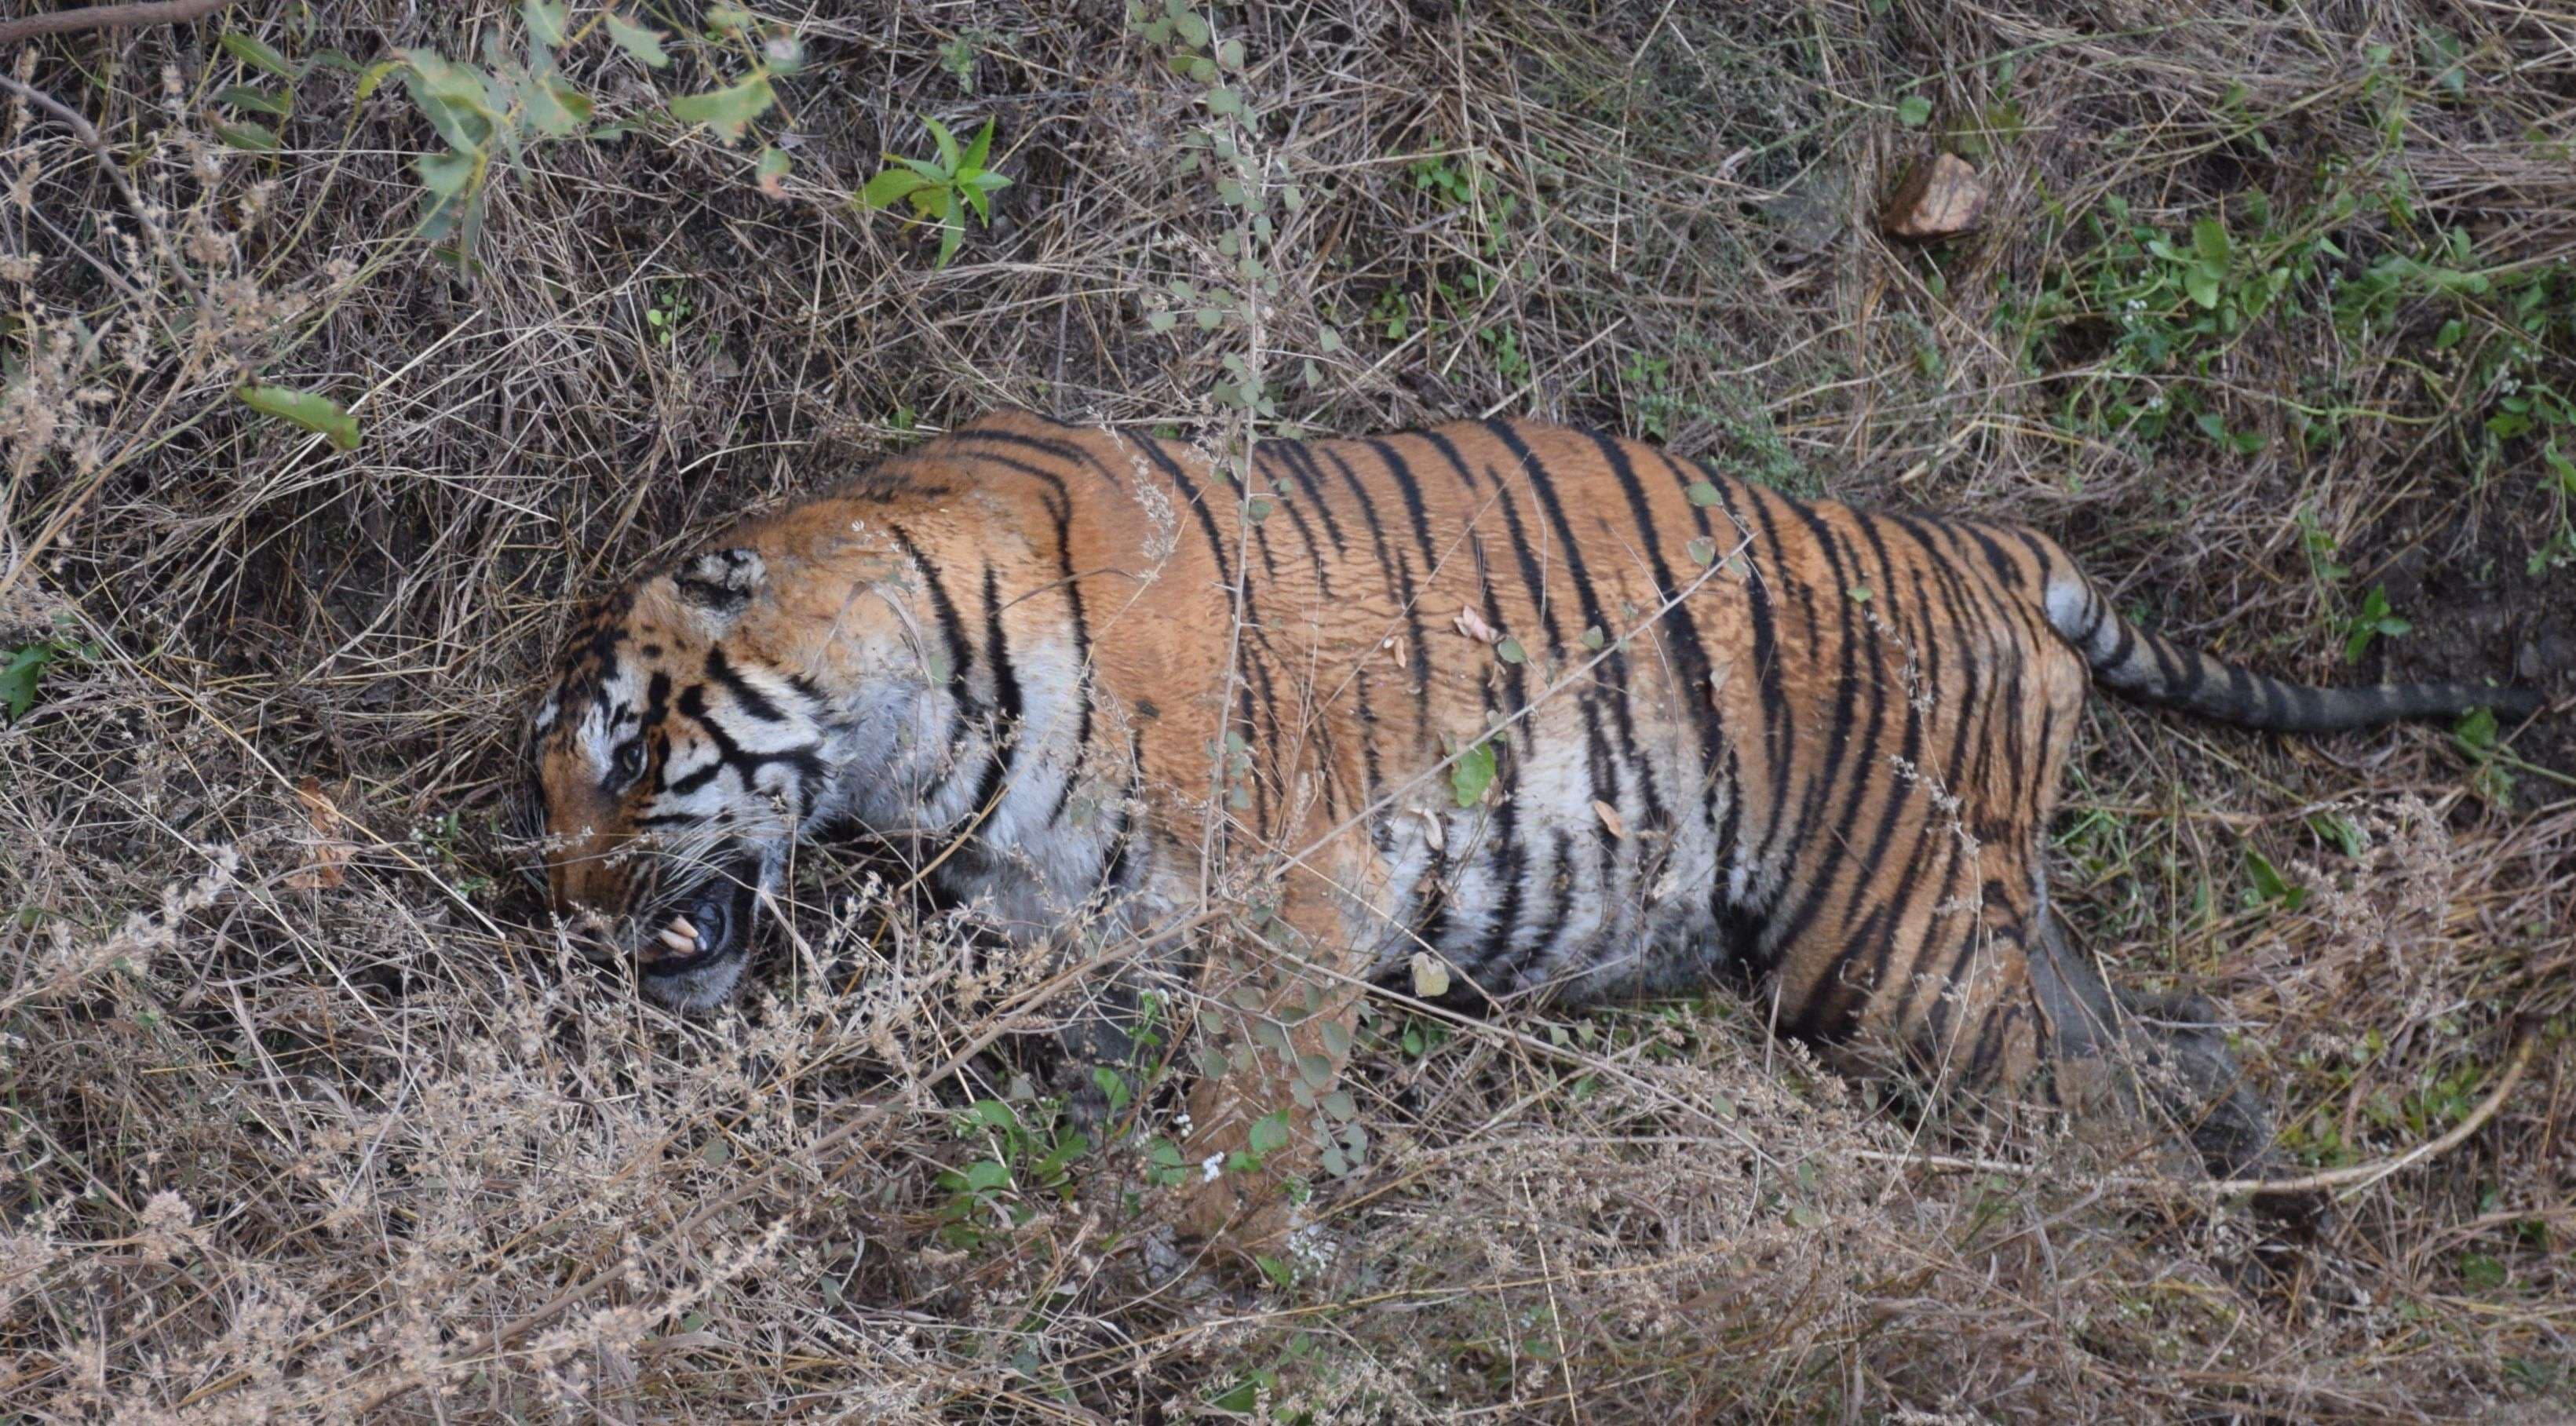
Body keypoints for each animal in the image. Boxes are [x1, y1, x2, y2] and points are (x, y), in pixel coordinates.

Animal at [533, 401, 2545, 1230]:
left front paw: (1200, 1278)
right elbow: (1111, 1114)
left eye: (625, 752)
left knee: (2100, 1126)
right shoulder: (1084, 940)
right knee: (2173, 1044)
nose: (556, 898)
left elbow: (1239, 1137)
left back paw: (2128, 1273)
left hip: (1886, 951)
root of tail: (1986, 540)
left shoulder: (1293, 896)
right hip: (1980, 912)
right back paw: (2263, 1224)